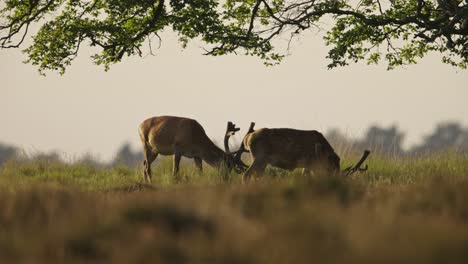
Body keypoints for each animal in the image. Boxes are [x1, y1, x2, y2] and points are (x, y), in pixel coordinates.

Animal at [229, 122, 370, 183]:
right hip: (260, 157)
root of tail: (247, 138)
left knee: (255, 176)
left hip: (261, 161)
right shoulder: (310, 163)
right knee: (246, 175)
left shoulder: (309, 166)